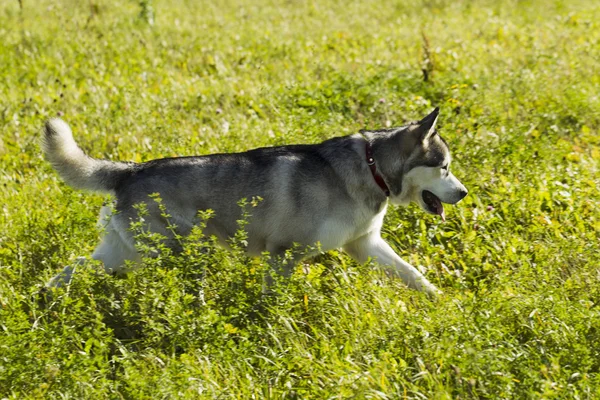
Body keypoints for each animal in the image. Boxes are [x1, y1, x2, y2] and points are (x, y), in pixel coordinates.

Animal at [44, 108, 468, 296]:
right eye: (444, 167)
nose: (464, 193)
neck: (371, 168)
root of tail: (130, 170)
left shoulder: (365, 245)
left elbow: (412, 274)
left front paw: (441, 301)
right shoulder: (283, 254)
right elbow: (272, 301)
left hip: (124, 253)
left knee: (73, 268)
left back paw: (45, 298)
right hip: (173, 253)